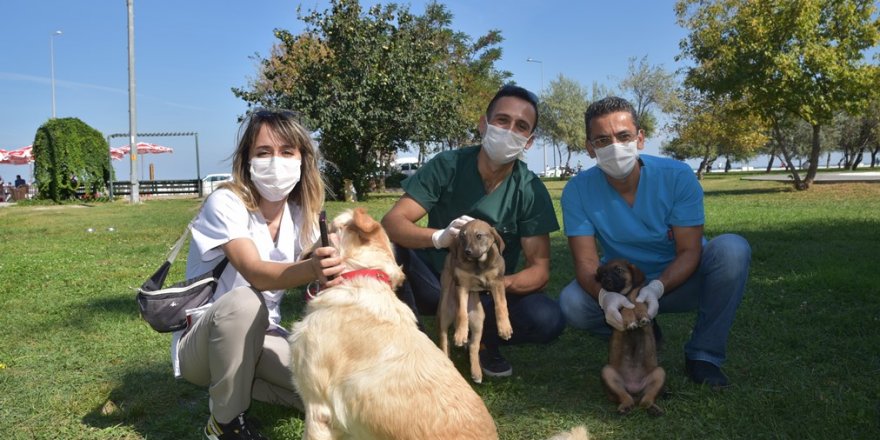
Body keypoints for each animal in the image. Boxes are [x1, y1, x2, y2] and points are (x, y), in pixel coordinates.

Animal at [438, 218, 512, 384]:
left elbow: (501, 305)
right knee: (444, 340)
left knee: (474, 345)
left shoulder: (497, 283)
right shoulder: (462, 286)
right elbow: (461, 313)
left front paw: (504, 328)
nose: (467, 252)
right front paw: (460, 334)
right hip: (445, 311)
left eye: (479, 236)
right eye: (462, 236)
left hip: (478, 319)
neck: (478, 264)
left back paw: (476, 372)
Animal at [600, 258, 668, 416]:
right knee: (625, 397)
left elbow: (639, 304)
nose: (606, 280)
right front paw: (631, 321)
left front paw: (642, 316)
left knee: (647, 398)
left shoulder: (640, 299)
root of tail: (634, 389)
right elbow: (626, 308)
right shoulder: (620, 306)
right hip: (607, 372)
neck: (627, 295)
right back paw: (625, 406)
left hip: (659, 373)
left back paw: (652, 407)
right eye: (603, 273)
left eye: (618, 270)